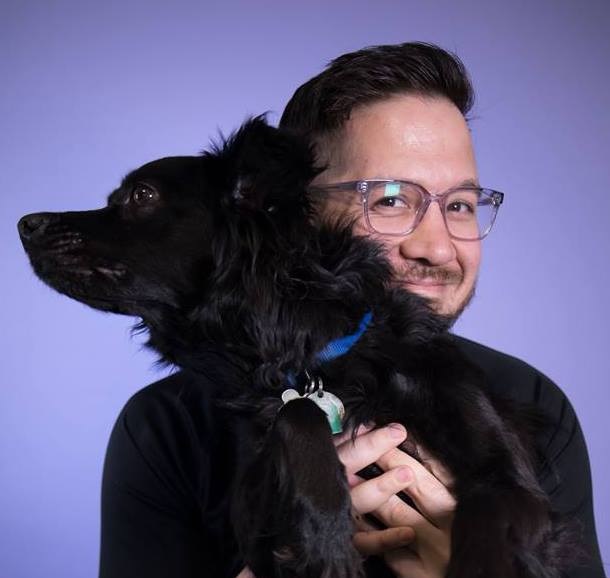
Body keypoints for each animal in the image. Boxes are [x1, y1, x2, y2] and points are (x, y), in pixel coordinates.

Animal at [19, 118, 568, 576]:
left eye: (141, 194)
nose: (25, 223)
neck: (316, 358)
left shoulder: (510, 480)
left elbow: (491, 518)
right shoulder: (255, 528)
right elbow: (298, 414)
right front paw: (325, 533)